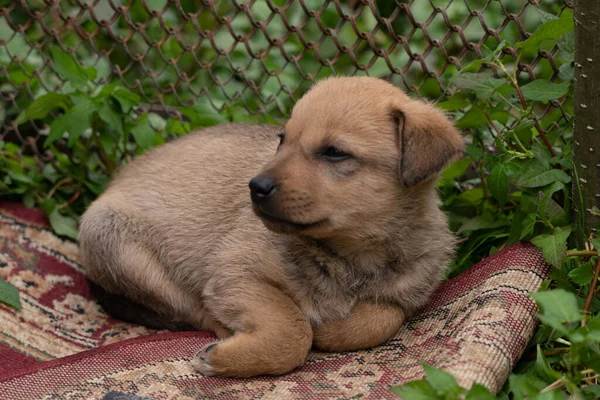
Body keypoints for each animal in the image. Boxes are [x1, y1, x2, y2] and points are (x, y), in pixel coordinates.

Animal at [78, 77, 464, 378]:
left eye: (335, 152)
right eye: (282, 139)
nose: (255, 187)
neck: (350, 256)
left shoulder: (404, 294)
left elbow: (380, 320)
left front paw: (332, 327)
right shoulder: (235, 272)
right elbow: (292, 328)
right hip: (116, 243)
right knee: (192, 307)